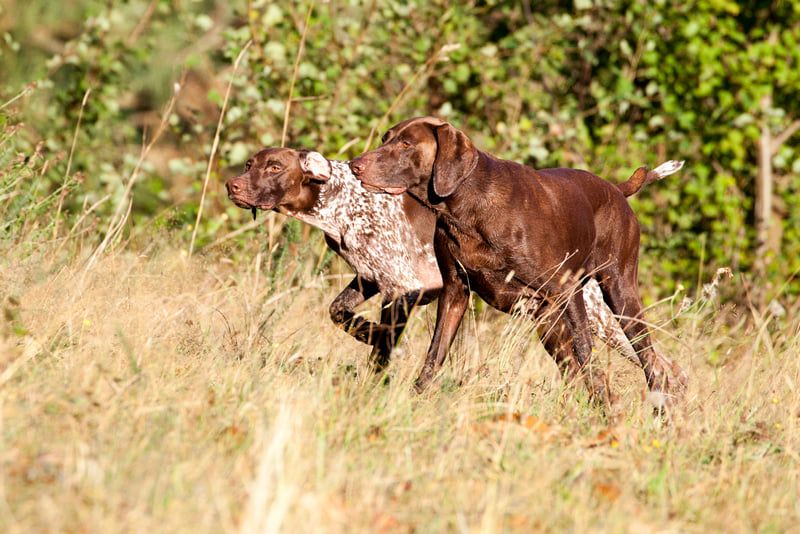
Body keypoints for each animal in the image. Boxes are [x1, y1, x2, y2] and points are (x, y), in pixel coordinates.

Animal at [225, 149, 636, 376]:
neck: (340, 202)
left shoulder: (404, 289)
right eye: (249, 164)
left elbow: (382, 349)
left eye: (275, 167)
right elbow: (338, 313)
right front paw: (365, 333)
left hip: (603, 319)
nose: (233, 186)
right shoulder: (371, 279)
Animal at [350, 117, 688, 408]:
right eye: (385, 138)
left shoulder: (567, 290)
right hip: (547, 321)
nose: (355, 165)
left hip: (620, 295)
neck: (467, 206)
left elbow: (586, 353)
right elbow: (435, 353)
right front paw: (416, 400)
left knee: (650, 361)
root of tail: (617, 189)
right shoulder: (455, 292)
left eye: (406, 143)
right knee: (575, 370)